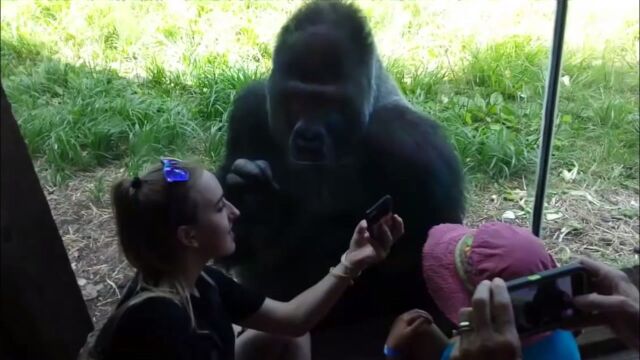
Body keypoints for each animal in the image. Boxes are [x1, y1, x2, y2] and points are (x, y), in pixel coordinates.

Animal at [218, 0, 462, 344]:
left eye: (328, 103)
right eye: (297, 99)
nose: (308, 136)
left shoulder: (412, 143)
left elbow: (434, 254)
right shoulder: (250, 108)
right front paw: (251, 200)